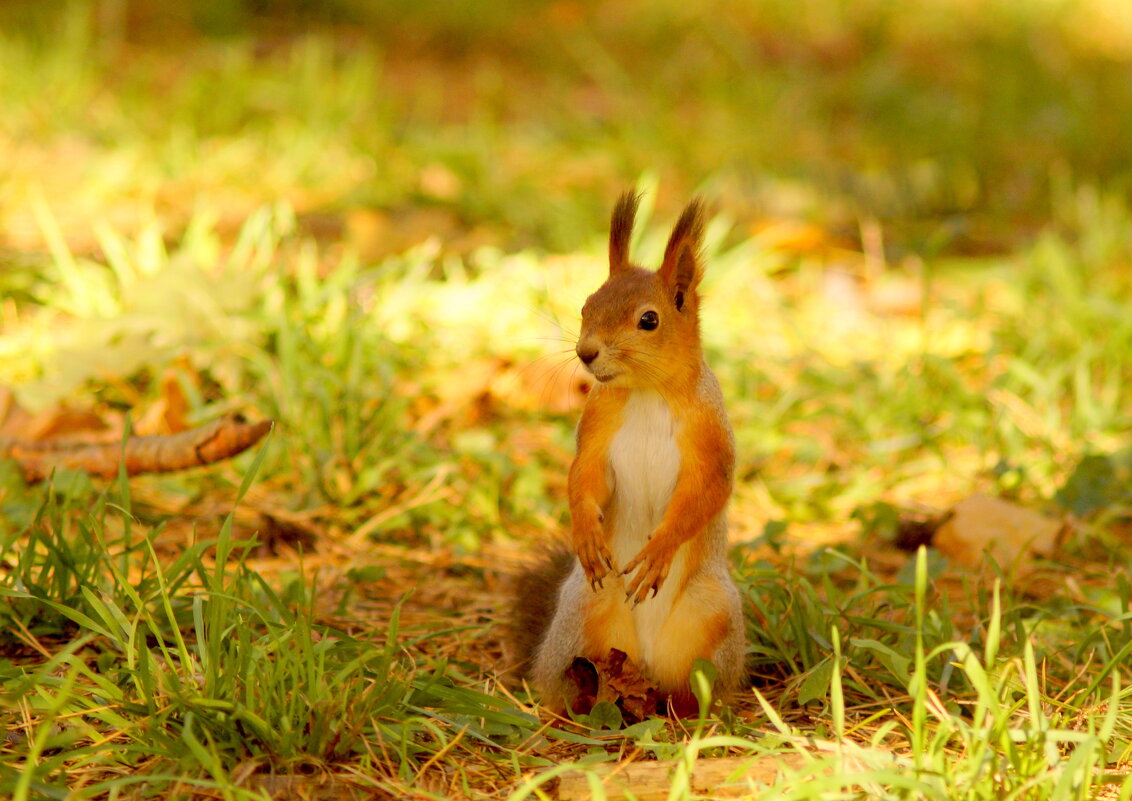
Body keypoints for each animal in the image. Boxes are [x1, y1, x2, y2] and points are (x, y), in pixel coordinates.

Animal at [511, 191, 742, 715]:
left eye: (649, 320)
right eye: (585, 306)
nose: (586, 352)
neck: (646, 392)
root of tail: (646, 664)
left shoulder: (710, 437)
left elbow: (706, 492)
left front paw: (659, 550)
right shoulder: (597, 427)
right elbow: (584, 476)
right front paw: (585, 531)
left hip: (713, 612)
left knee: (696, 685)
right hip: (582, 614)